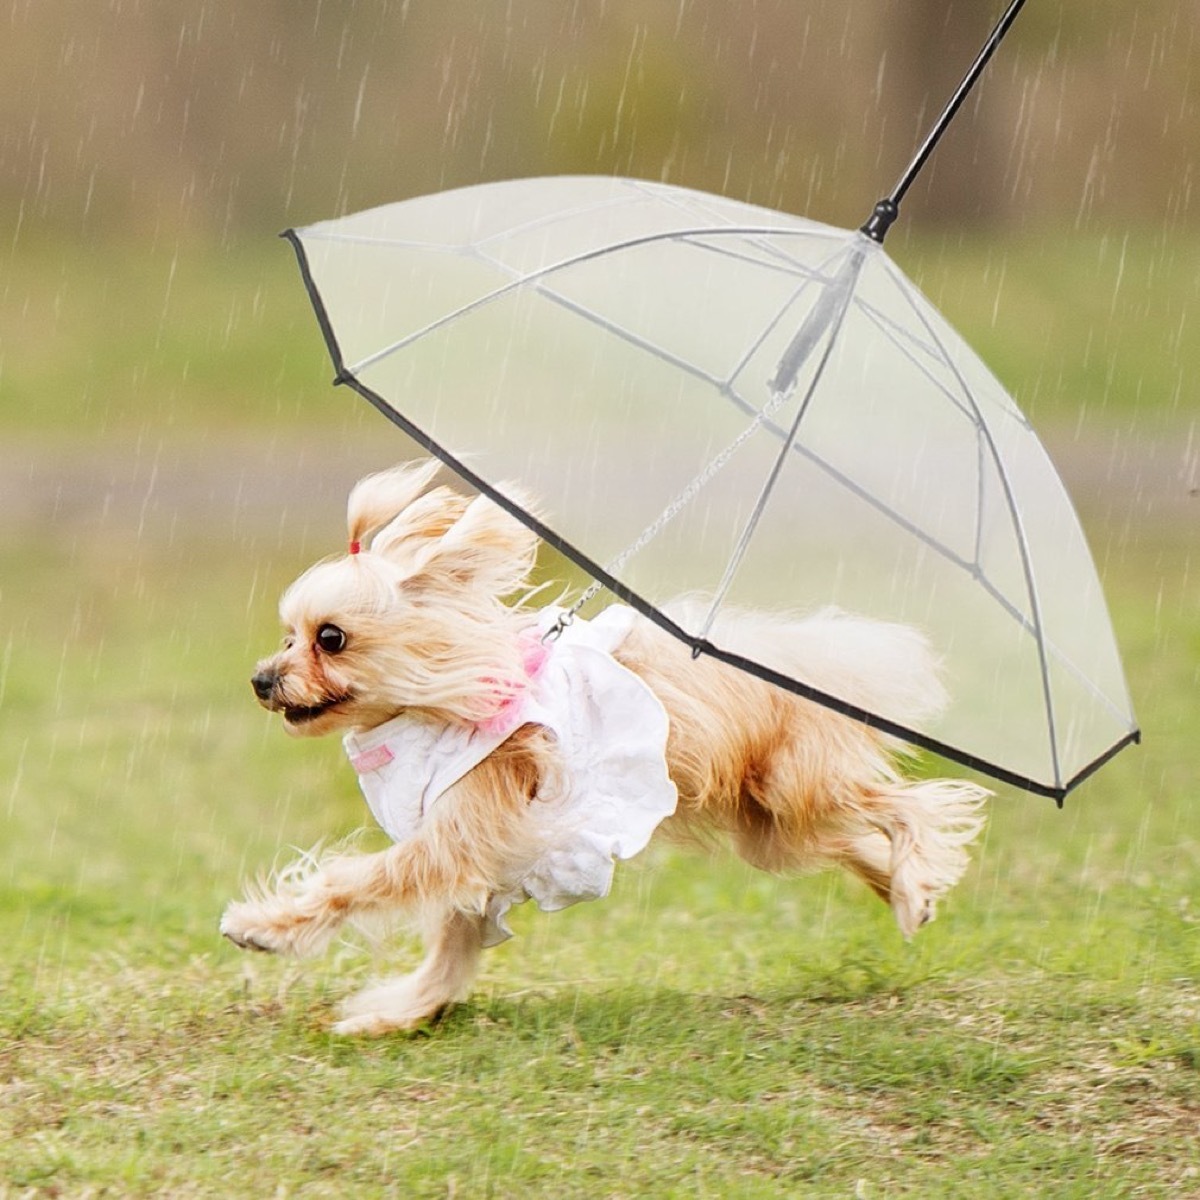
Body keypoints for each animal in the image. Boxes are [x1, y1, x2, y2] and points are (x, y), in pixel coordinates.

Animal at [220, 453, 988, 1036]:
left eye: (330, 638)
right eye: (287, 636)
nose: (260, 680)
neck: (436, 706)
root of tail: (807, 660)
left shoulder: (459, 838)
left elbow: (352, 883)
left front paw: (263, 926)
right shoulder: (487, 861)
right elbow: (451, 951)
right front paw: (397, 1014)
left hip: (796, 785)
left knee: (909, 805)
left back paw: (916, 877)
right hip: (770, 826)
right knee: (849, 841)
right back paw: (905, 893)